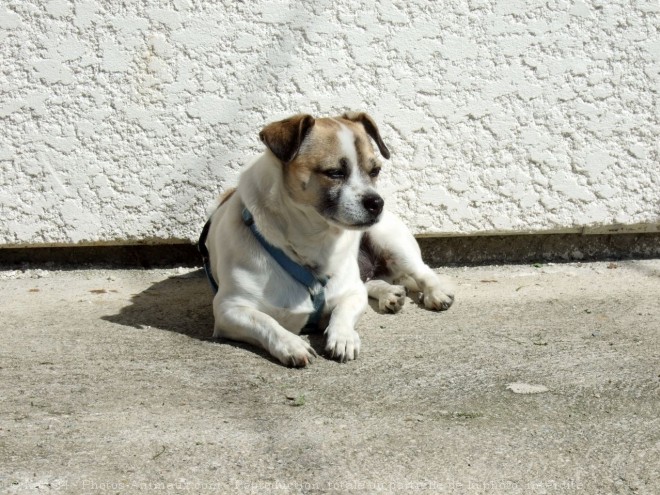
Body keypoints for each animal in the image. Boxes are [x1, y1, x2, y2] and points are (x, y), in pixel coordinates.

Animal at [201, 113, 454, 368]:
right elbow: (264, 321)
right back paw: (390, 294)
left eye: (375, 171)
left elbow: (342, 311)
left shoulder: (351, 293)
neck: (314, 241)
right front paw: (291, 344)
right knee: (371, 281)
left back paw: (435, 294)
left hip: (391, 242)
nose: (377, 203)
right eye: (334, 173)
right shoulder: (228, 310)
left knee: (422, 271)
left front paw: (343, 337)